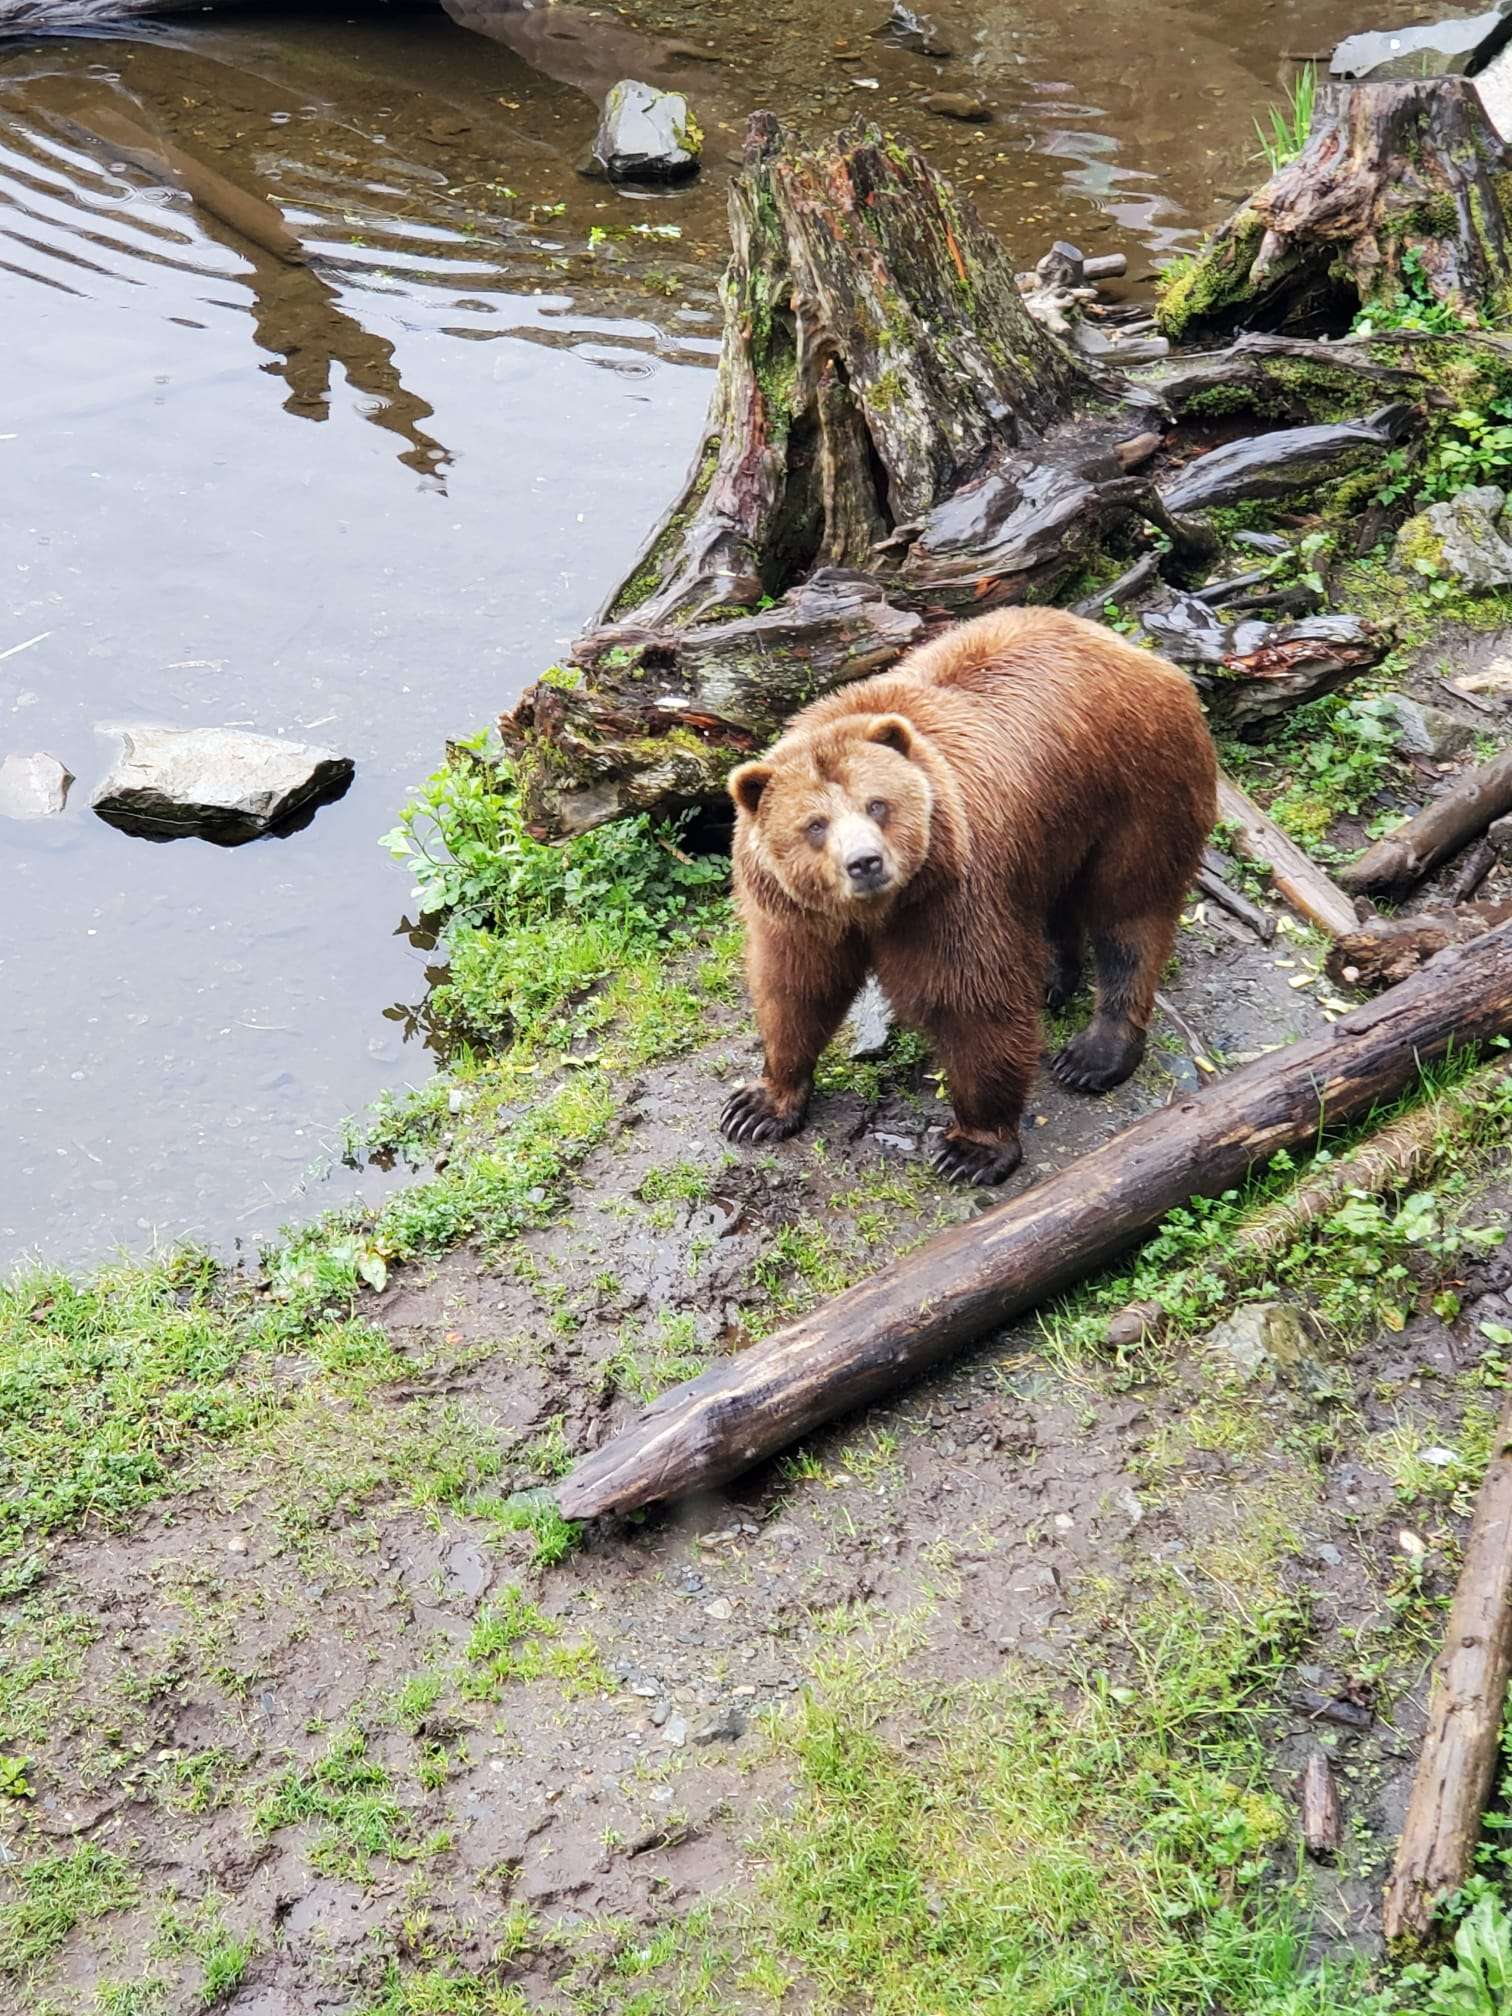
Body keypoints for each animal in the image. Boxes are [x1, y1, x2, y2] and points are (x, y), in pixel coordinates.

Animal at [719, 605, 1218, 1184]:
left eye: (877, 804)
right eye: (814, 825)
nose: (865, 863)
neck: (876, 913)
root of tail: (1134, 650)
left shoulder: (951, 896)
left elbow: (973, 1004)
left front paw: (972, 1147)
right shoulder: (797, 916)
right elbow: (795, 990)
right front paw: (758, 1104)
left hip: (1139, 788)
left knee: (1130, 914)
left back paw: (1093, 1055)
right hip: (1055, 828)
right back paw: (1051, 977)